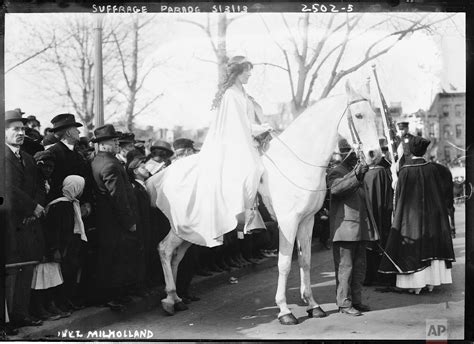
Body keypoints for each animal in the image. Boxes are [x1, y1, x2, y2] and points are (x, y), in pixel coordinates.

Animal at [145, 80, 382, 322]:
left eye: (375, 114)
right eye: (359, 115)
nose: (375, 154)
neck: (295, 164)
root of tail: (161, 176)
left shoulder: (307, 221)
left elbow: (305, 261)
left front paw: (313, 305)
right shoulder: (288, 223)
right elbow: (285, 264)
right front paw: (285, 311)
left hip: (192, 231)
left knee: (176, 256)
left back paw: (176, 298)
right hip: (184, 227)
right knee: (164, 249)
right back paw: (170, 300)